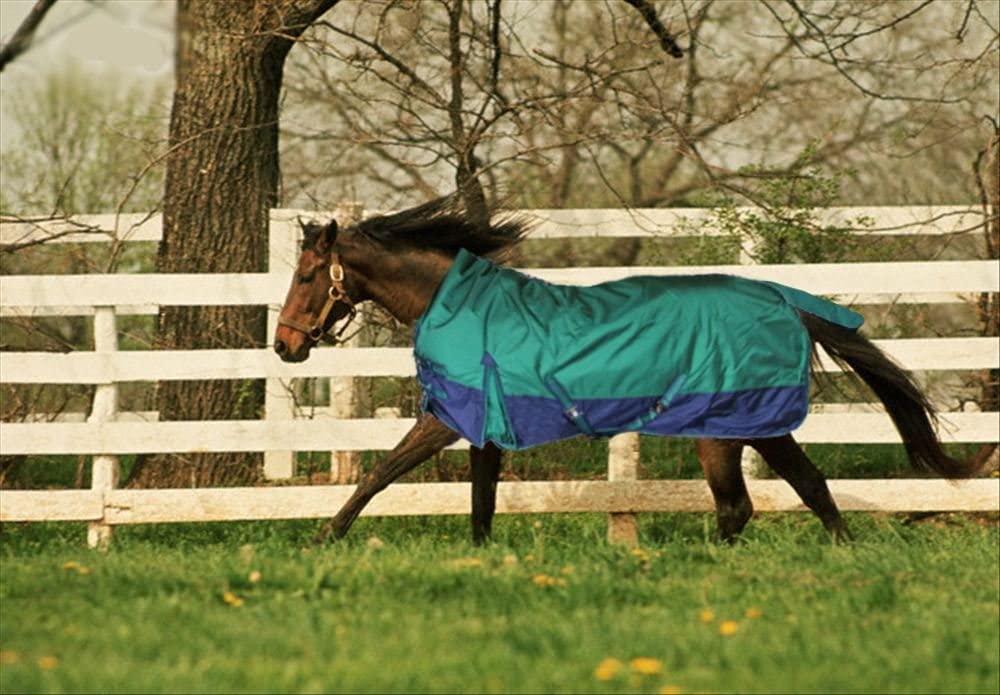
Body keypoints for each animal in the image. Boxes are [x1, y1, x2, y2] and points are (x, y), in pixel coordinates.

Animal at [273, 198, 969, 545]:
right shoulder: (484, 429)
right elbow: (480, 502)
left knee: (743, 505)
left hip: (727, 431)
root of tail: (784, 301)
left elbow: (381, 474)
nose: (285, 346)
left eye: (306, 275)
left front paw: (324, 539)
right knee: (806, 489)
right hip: (757, 429)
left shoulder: (446, 419)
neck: (465, 308)